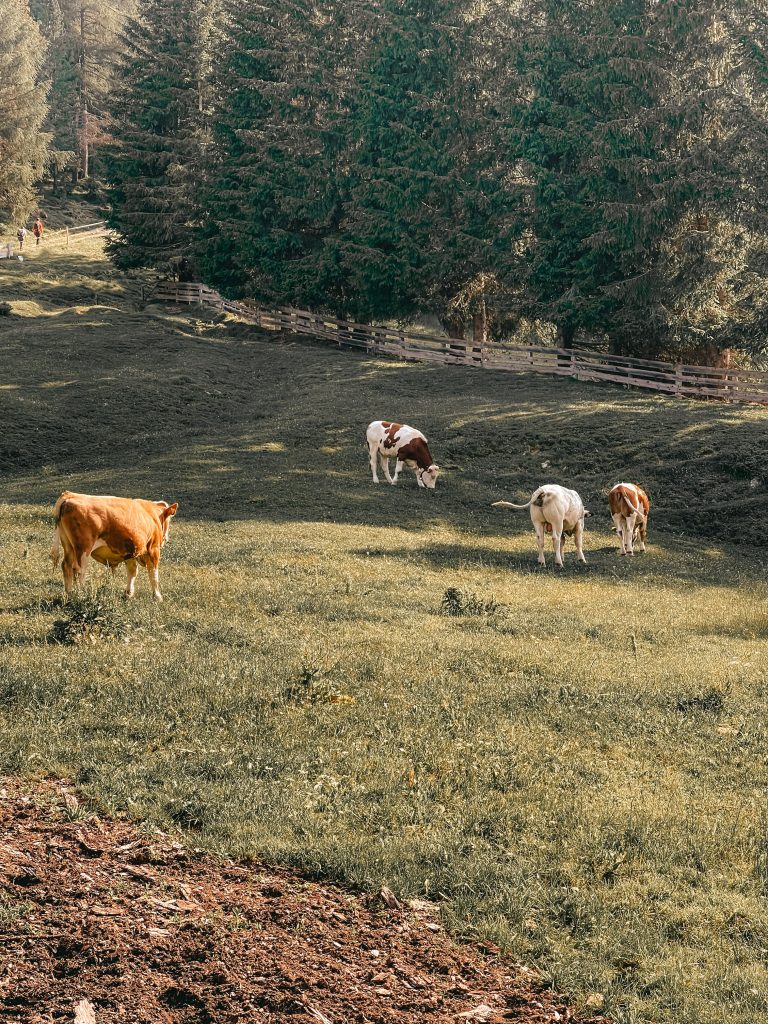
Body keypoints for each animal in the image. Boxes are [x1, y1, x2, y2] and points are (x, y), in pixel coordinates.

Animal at [50, 489, 180, 598]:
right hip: (83, 548)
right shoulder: (153, 549)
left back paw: (69, 593)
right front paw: (157, 597)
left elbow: (132, 571)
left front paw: (128, 593)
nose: (166, 538)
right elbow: (153, 574)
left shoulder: (130, 550)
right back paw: (81, 595)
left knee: (66, 566)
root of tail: (70, 495)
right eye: (169, 519)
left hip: (68, 546)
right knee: (78, 570)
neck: (151, 514)